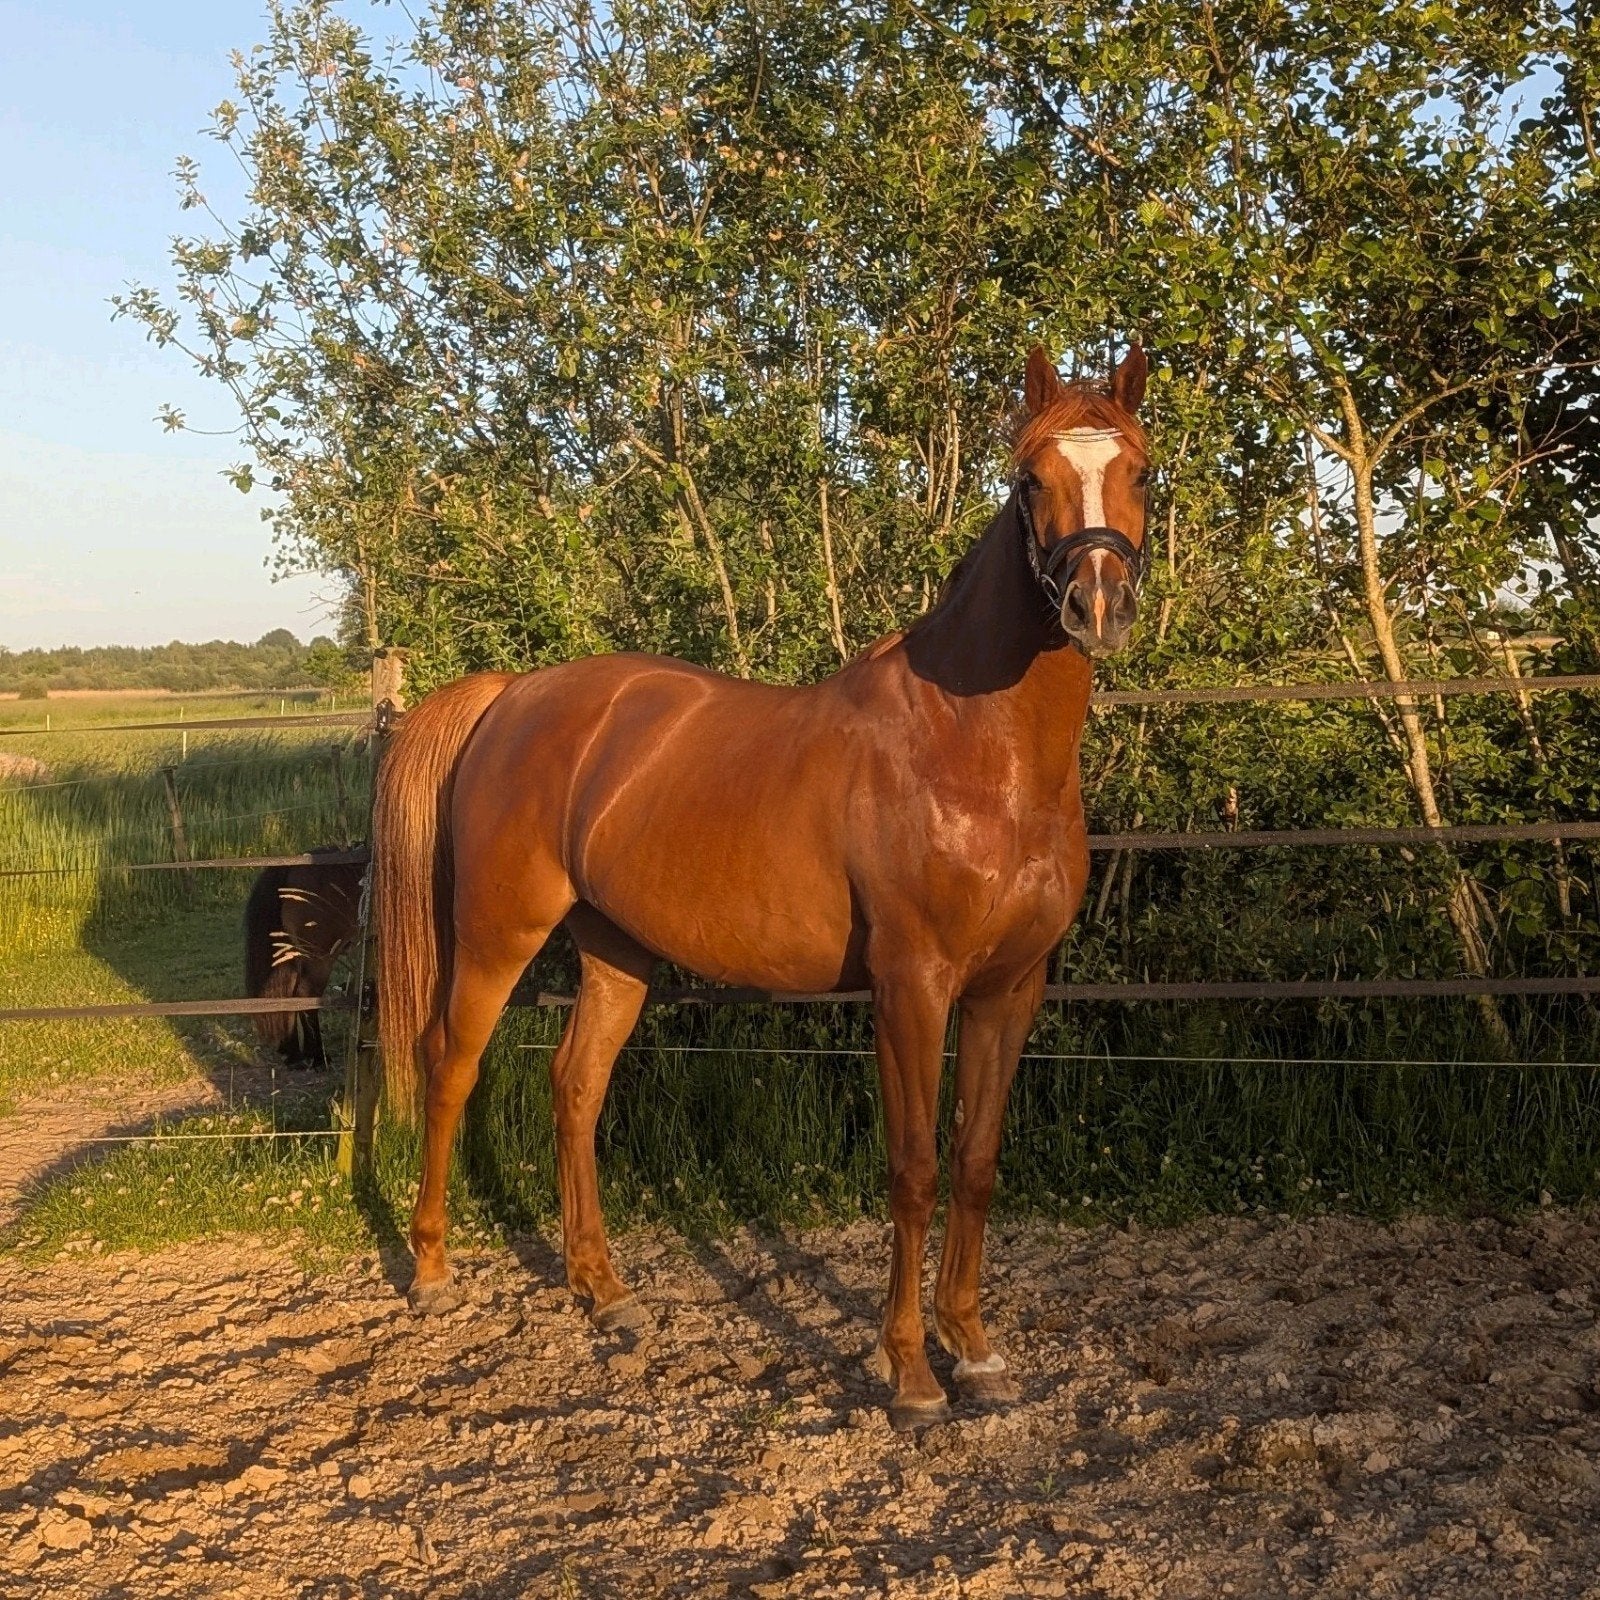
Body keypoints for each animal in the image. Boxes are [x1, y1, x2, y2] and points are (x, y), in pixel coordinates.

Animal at [373, 343, 1150, 1429]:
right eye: (1028, 479)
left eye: (1143, 472)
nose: (1096, 603)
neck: (974, 753)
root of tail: (513, 695)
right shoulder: (911, 987)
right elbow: (913, 1169)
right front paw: (911, 1373)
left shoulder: (1011, 986)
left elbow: (977, 1160)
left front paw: (975, 1349)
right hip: (498, 932)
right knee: (451, 1065)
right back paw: (434, 1270)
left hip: (615, 947)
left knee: (576, 1085)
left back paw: (603, 1291)